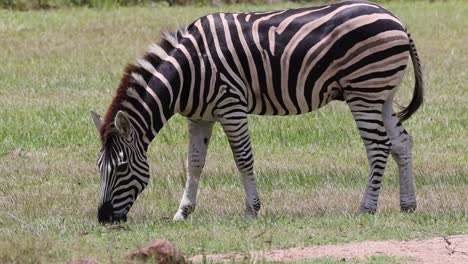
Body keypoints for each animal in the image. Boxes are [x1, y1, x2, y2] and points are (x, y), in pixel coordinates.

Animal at [89, 0, 422, 224]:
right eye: (99, 167)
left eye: (121, 167)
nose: (104, 218)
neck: (187, 72)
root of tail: (396, 18)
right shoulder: (199, 116)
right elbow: (194, 163)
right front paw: (183, 212)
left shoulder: (231, 106)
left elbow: (243, 158)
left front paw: (252, 209)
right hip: (383, 94)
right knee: (401, 142)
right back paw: (407, 204)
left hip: (364, 92)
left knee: (378, 147)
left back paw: (367, 207)